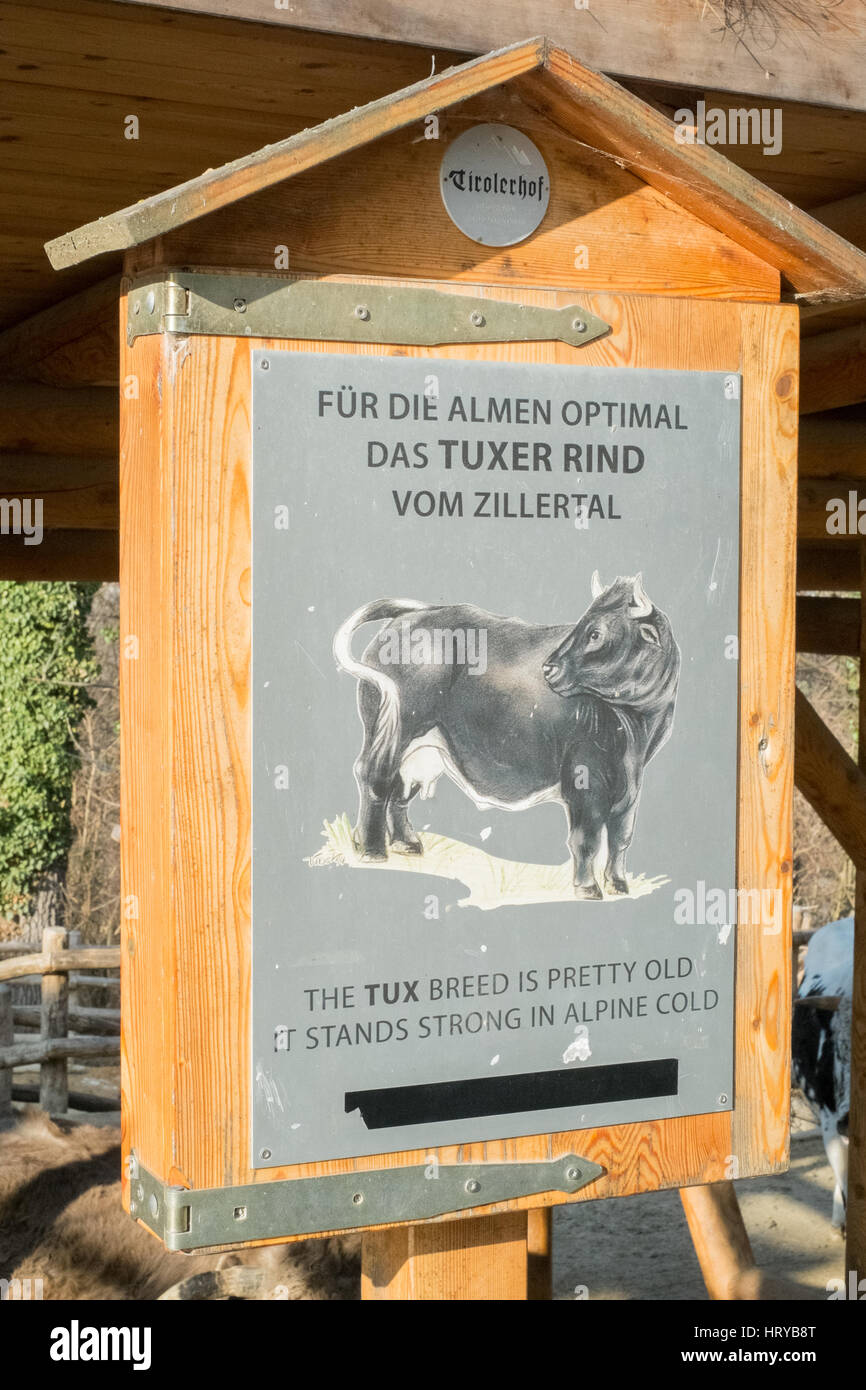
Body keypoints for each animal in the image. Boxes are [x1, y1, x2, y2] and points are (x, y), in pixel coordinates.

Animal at [335, 575, 681, 900]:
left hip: (424, 748)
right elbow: (587, 838)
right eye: (583, 624)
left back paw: (403, 843)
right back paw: (372, 850)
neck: (636, 731)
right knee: (375, 777)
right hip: (393, 731)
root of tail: (418, 614)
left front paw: (619, 885)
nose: (548, 668)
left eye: (595, 633)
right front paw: (587, 888)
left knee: (400, 788)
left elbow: (621, 837)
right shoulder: (585, 778)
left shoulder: (631, 788)